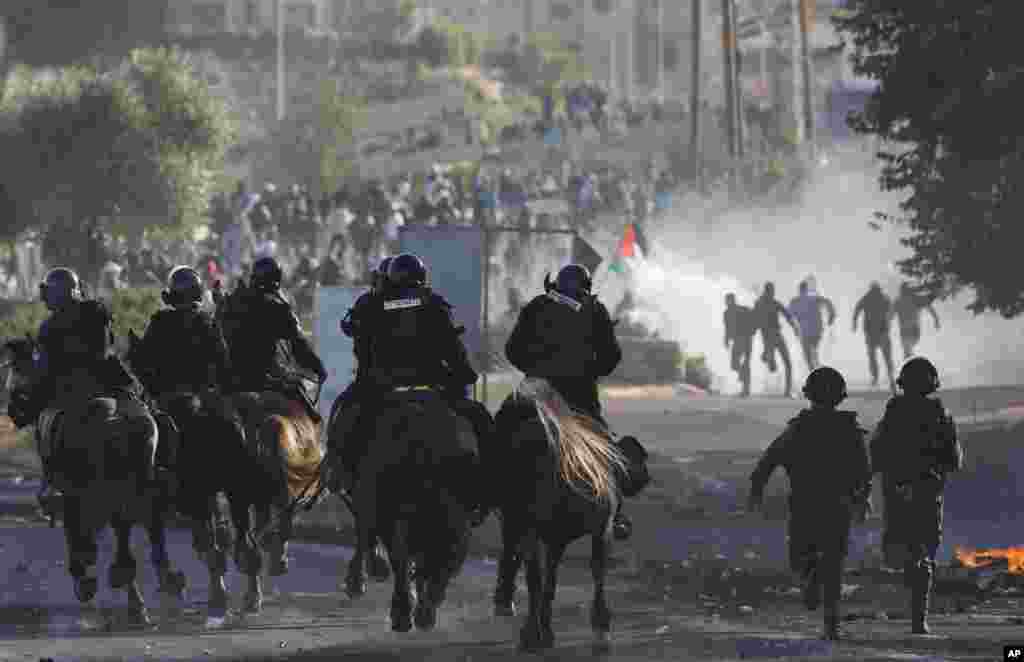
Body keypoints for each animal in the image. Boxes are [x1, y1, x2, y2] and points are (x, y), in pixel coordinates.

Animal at [487, 379, 647, 651]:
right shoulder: (588, 532)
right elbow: (575, 576)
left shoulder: (552, 536)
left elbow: (547, 580)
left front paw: (544, 628)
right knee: (537, 571)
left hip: (526, 522)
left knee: (531, 569)